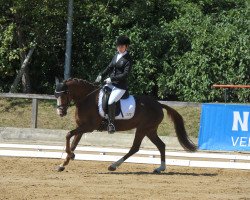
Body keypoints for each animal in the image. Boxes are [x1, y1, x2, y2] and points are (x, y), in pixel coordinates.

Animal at [55, 78, 197, 173]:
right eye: (56, 95)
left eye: (65, 94)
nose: (60, 112)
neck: (87, 99)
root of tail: (159, 104)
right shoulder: (81, 127)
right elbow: (73, 143)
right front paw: (64, 163)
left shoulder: (89, 127)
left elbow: (68, 135)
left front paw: (70, 156)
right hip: (150, 130)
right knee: (161, 145)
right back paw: (160, 168)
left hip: (142, 129)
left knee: (135, 148)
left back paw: (113, 166)